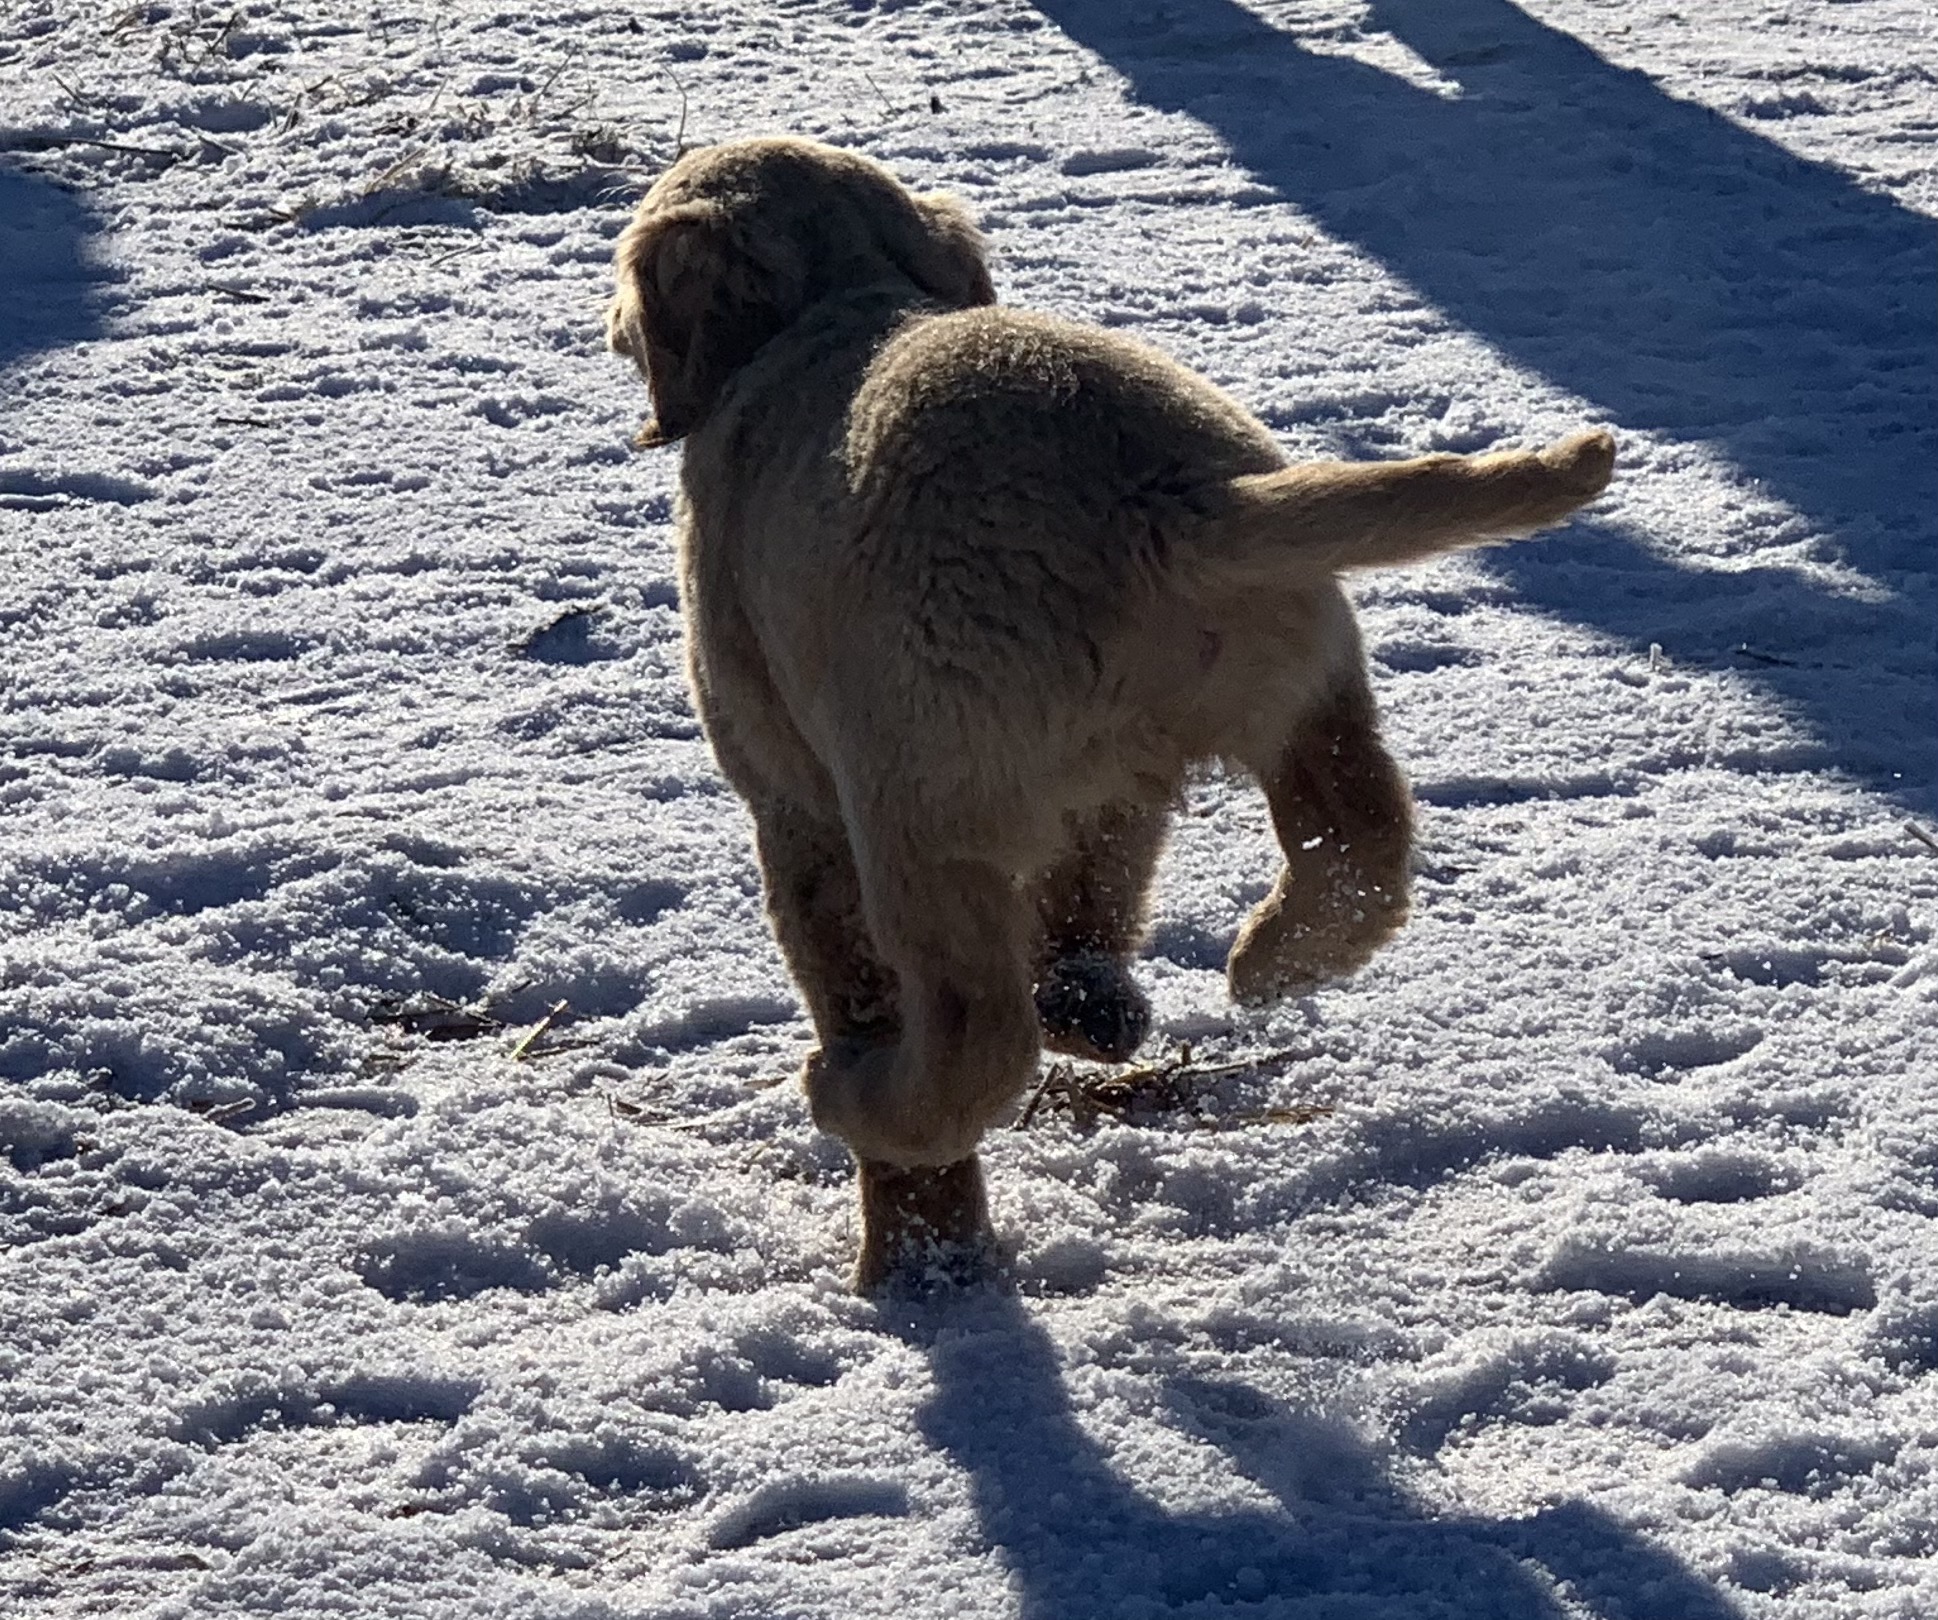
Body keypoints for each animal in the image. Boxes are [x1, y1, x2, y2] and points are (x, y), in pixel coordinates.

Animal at [608, 132, 1620, 1286]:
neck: (836, 306)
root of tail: (1167, 502)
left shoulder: (790, 794)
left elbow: (849, 967)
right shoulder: (1109, 788)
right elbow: (1098, 887)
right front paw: (1086, 1005)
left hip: (920, 798)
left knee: (975, 1027)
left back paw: (863, 1095)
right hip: (1297, 680)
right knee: (1360, 837)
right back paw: (1269, 961)